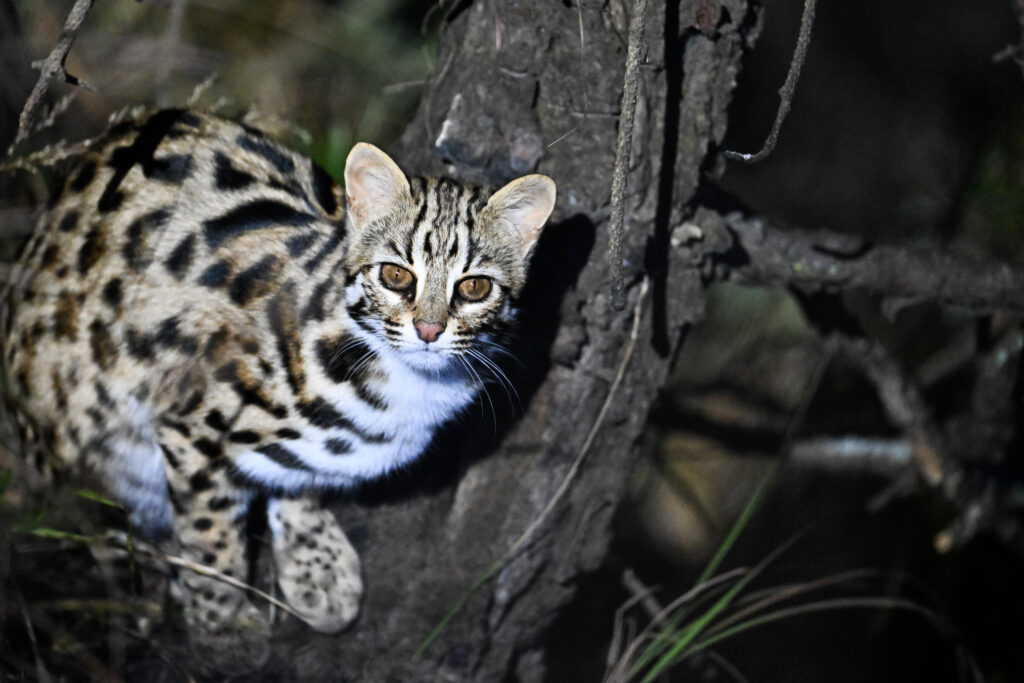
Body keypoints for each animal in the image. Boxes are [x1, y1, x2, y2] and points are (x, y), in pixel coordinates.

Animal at [2, 109, 561, 671]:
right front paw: (223, 625)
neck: (408, 385)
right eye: (396, 275)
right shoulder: (190, 423)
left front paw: (316, 564)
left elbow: (301, 477)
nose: (429, 330)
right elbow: (210, 535)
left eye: (475, 287)